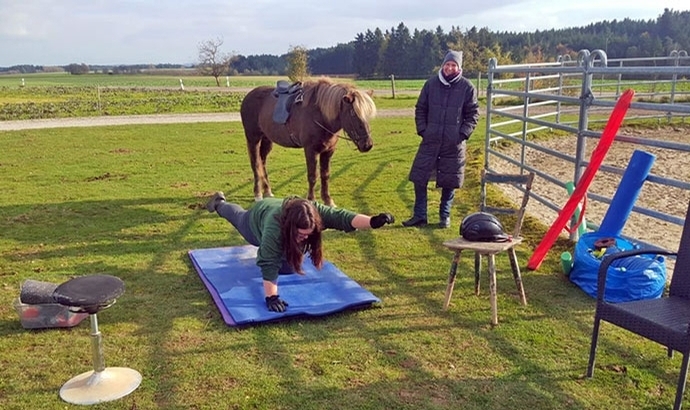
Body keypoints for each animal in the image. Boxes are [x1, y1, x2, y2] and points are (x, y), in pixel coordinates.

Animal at [239, 77, 374, 207]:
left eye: (367, 114)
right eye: (353, 113)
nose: (367, 144)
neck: (320, 115)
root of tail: (248, 96)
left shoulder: (328, 151)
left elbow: (325, 175)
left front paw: (328, 200)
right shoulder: (310, 150)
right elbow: (312, 176)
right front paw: (311, 199)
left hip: (267, 139)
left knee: (262, 162)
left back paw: (267, 190)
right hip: (253, 138)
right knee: (255, 163)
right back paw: (258, 193)